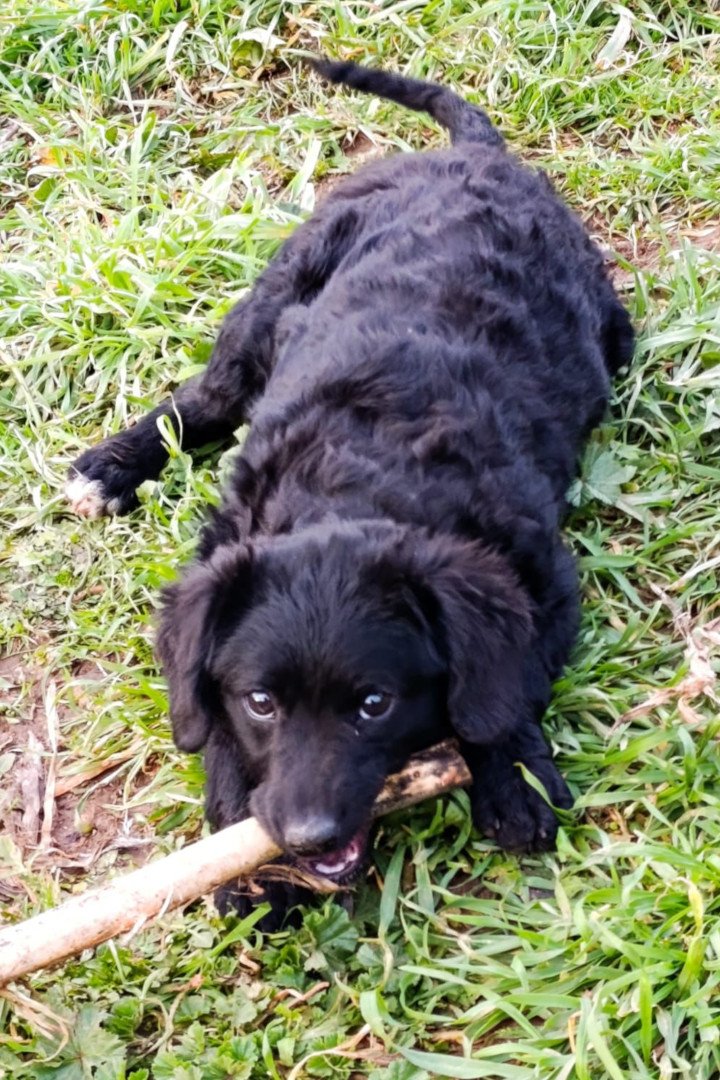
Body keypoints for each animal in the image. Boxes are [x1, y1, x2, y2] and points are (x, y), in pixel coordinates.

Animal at [67, 59, 634, 927]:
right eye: (261, 703)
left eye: (374, 705)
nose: (307, 838)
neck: (354, 490)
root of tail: (474, 156)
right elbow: (212, 725)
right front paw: (242, 859)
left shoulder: (541, 578)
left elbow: (510, 683)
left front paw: (513, 780)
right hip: (274, 295)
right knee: (204, 399)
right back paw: (108, 466)